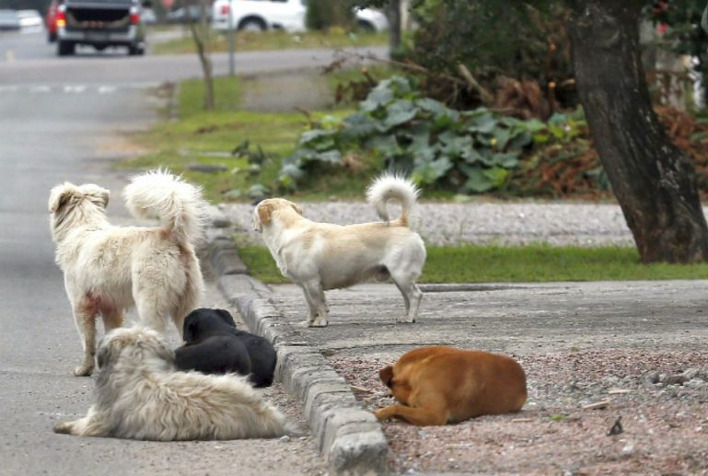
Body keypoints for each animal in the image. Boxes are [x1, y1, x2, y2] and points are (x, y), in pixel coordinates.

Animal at [48, 169, 205, 378]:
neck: (84, 227)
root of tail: (171, 235)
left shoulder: (81, 305)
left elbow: (88, 342)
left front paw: (85, 369)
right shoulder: (111, 308)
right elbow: (110, 334)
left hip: (150, 304)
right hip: (187, 304)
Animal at [253, 175, 426, 328]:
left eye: (254, 214)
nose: (252, 224)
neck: (288, 229)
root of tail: (402, 223)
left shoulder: (312, 282)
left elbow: (319, 305)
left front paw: (321, 322)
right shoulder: (305, 287)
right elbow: (311, 306)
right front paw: (308, 323)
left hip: (401, 275)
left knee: (416, 295)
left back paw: (410, 318)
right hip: (398, 279)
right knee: (407, 298)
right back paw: (405, 317)